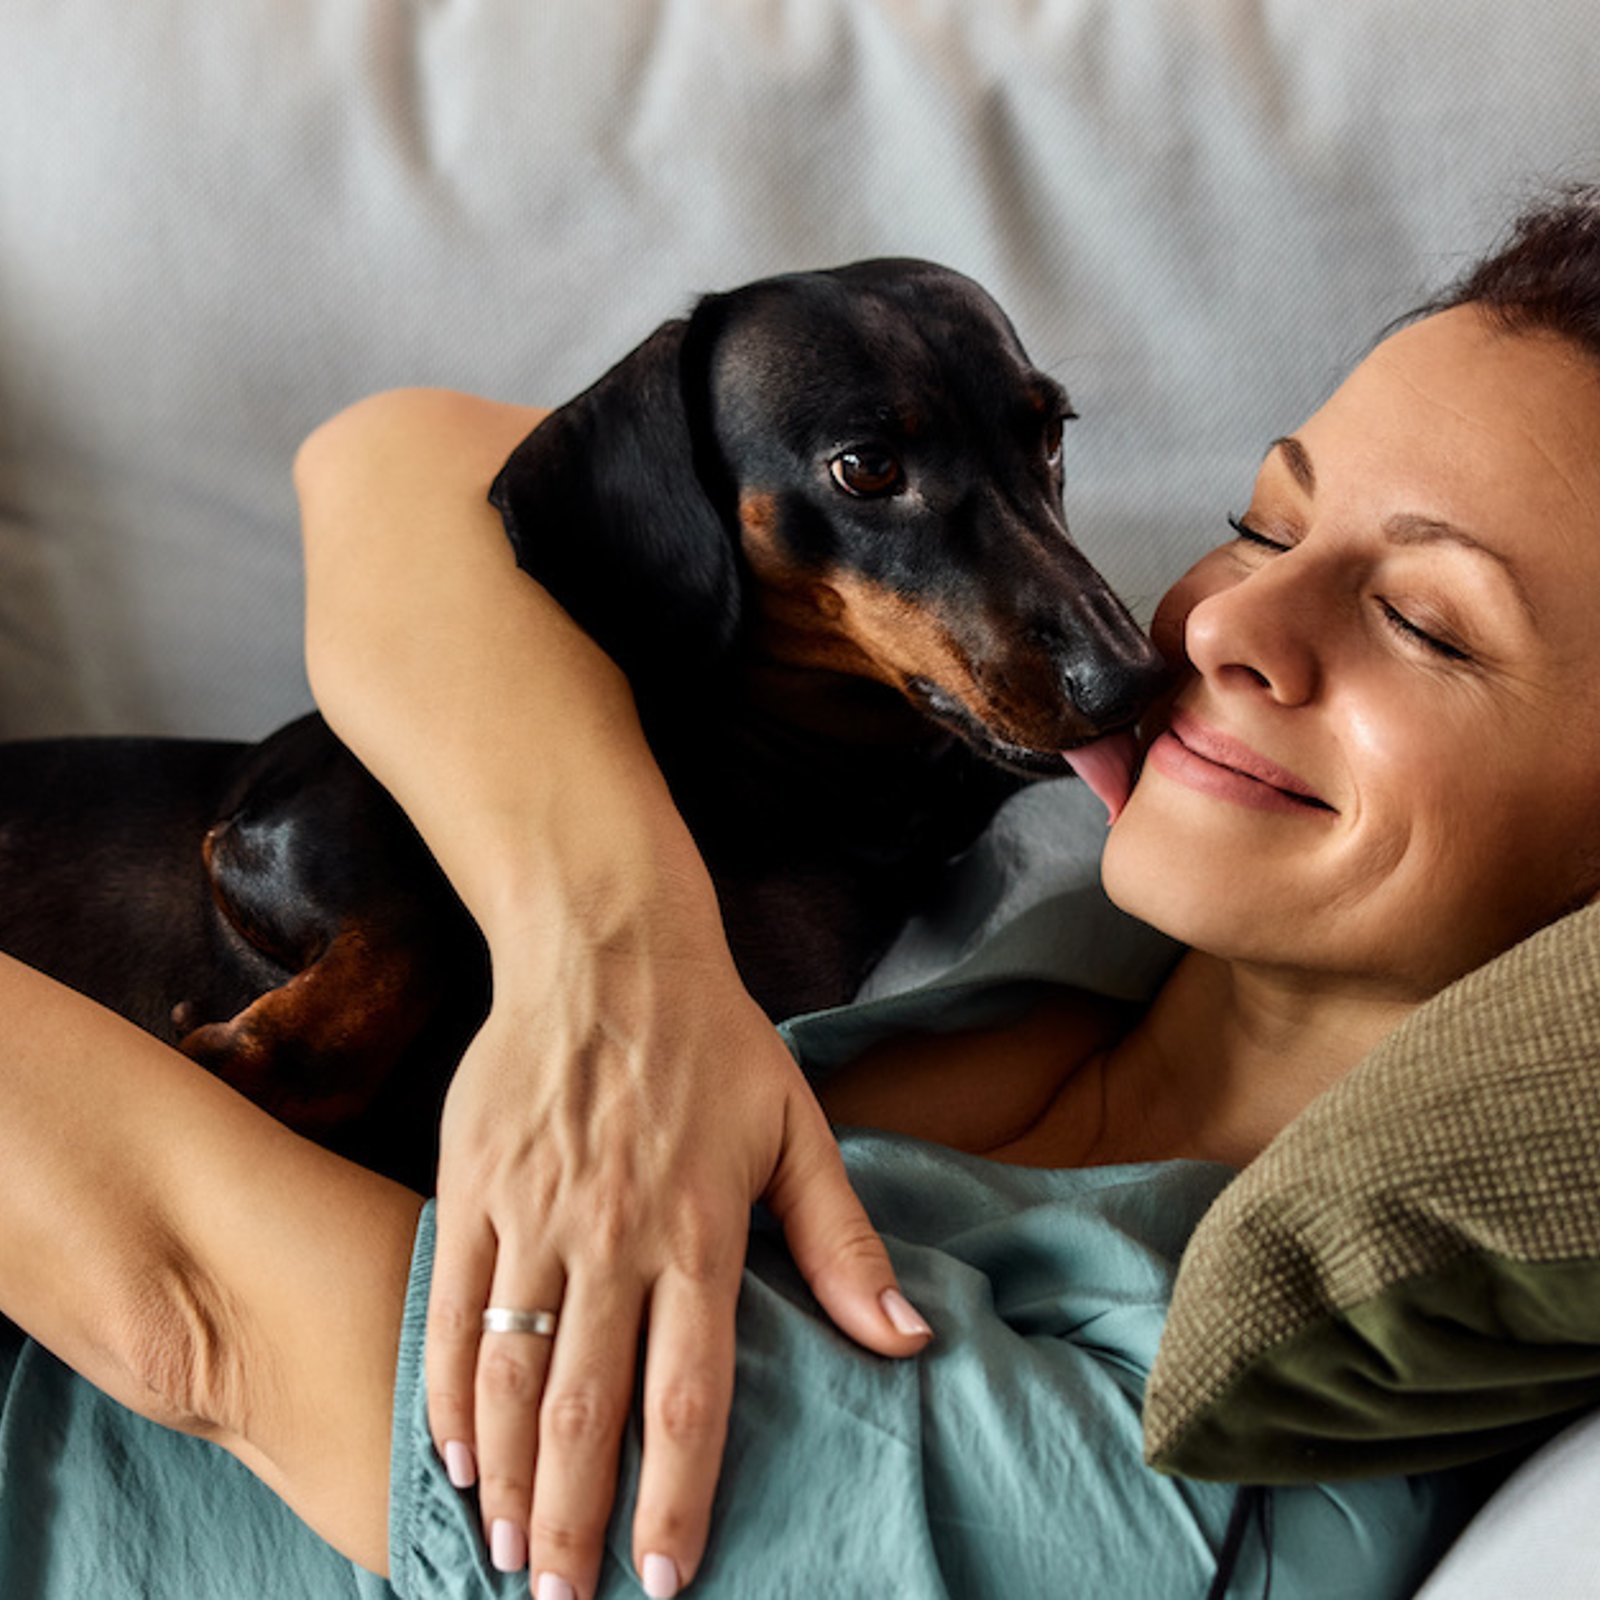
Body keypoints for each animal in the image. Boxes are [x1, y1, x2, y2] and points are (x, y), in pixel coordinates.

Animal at [0, 252, 1164, 1177]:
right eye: (868, 466)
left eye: (1049, 434)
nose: (1133, 684)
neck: (779, 776)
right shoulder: (293, 812)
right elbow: (417, 918)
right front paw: (264, 1059)